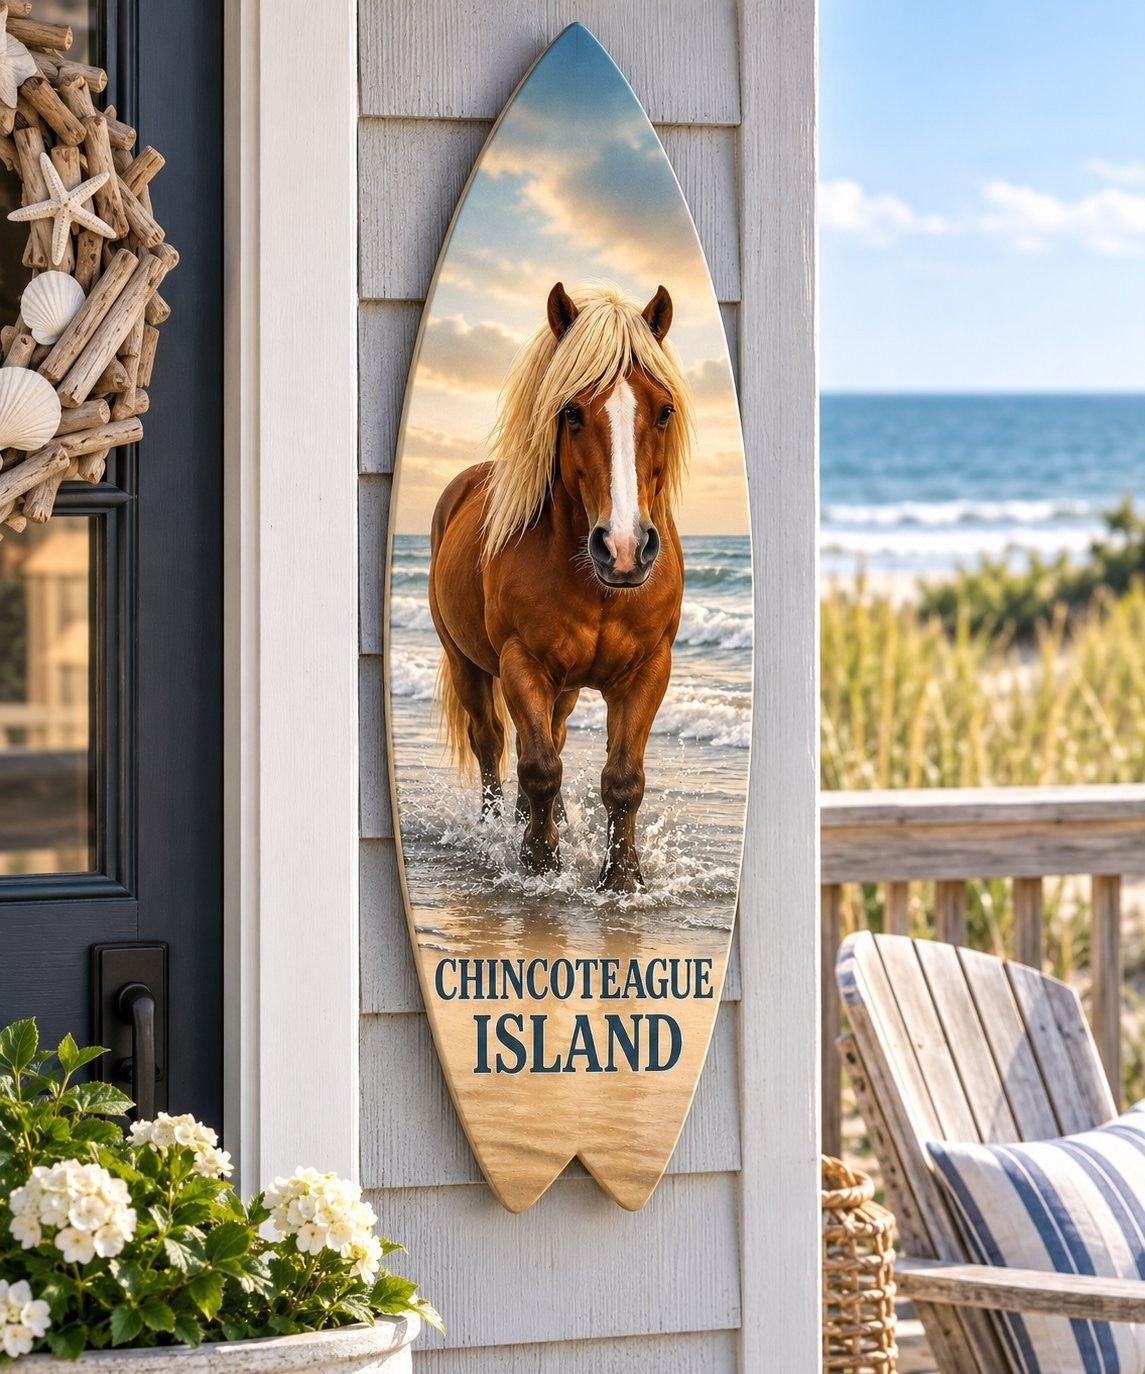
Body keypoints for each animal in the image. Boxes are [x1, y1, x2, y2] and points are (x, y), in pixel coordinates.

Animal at [427, 282, 694, 892]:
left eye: (664, 410)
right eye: (571, 412)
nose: (623, 546)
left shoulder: (649, 670)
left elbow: (622, 778)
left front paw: (621, 879)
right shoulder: (521, 662)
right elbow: (539, 767)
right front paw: (539, 863)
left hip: (565, 687)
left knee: (552, 733)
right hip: (466, 661)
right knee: (492, 741)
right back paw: (495, 829)